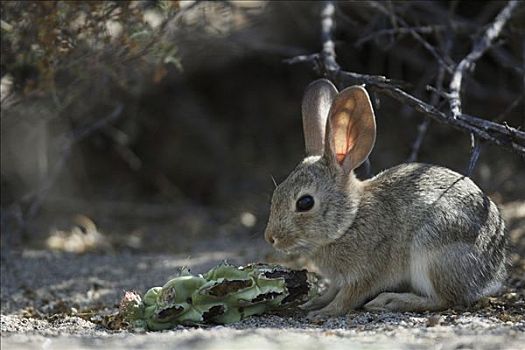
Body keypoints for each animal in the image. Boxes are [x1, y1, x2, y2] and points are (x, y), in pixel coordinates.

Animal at [264, 79, 506, 320]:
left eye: (305, 203)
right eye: (276, 194)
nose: (271, 238)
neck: (349, 221)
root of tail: (492, 272)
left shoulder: (365, 272)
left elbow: (348, 297)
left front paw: (323, 313)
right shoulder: (338, 279)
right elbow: (332, 291)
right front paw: (312, 304)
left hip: (432, 253)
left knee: (444, 299)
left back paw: (390, 301)